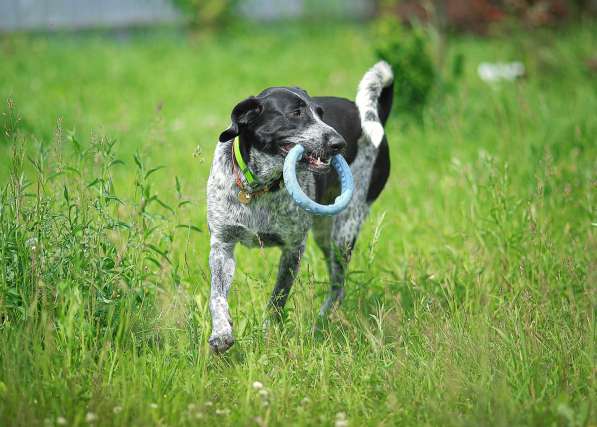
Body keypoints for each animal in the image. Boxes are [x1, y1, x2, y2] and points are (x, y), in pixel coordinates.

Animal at [207, 61, 394, 354]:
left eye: (320, 113)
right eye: (295, 113)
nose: (339, 143)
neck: (258, 188)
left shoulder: (293, 248)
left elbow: (277, 300)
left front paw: (268, 336)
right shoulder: (222, 245)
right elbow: (217, 296)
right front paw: (221, 333)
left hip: (344, 231)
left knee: (338, 285)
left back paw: (322, 322)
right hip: (324, 234)